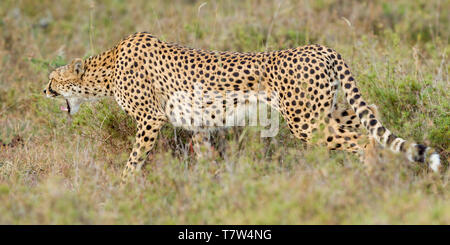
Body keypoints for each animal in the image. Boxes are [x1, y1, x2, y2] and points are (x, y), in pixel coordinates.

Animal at [44, 32, 442, 182]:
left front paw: (122, 187)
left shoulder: (150, 120)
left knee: (362, 139)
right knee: (369, 117)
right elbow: (206, 159)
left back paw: (368, 177)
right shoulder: (199, 125)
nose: (44, 91)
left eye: (52, 79)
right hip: (323, 111)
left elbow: (133, 160)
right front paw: (211, 190)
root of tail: (320, 47)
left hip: (306, 122)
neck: (105, 68)